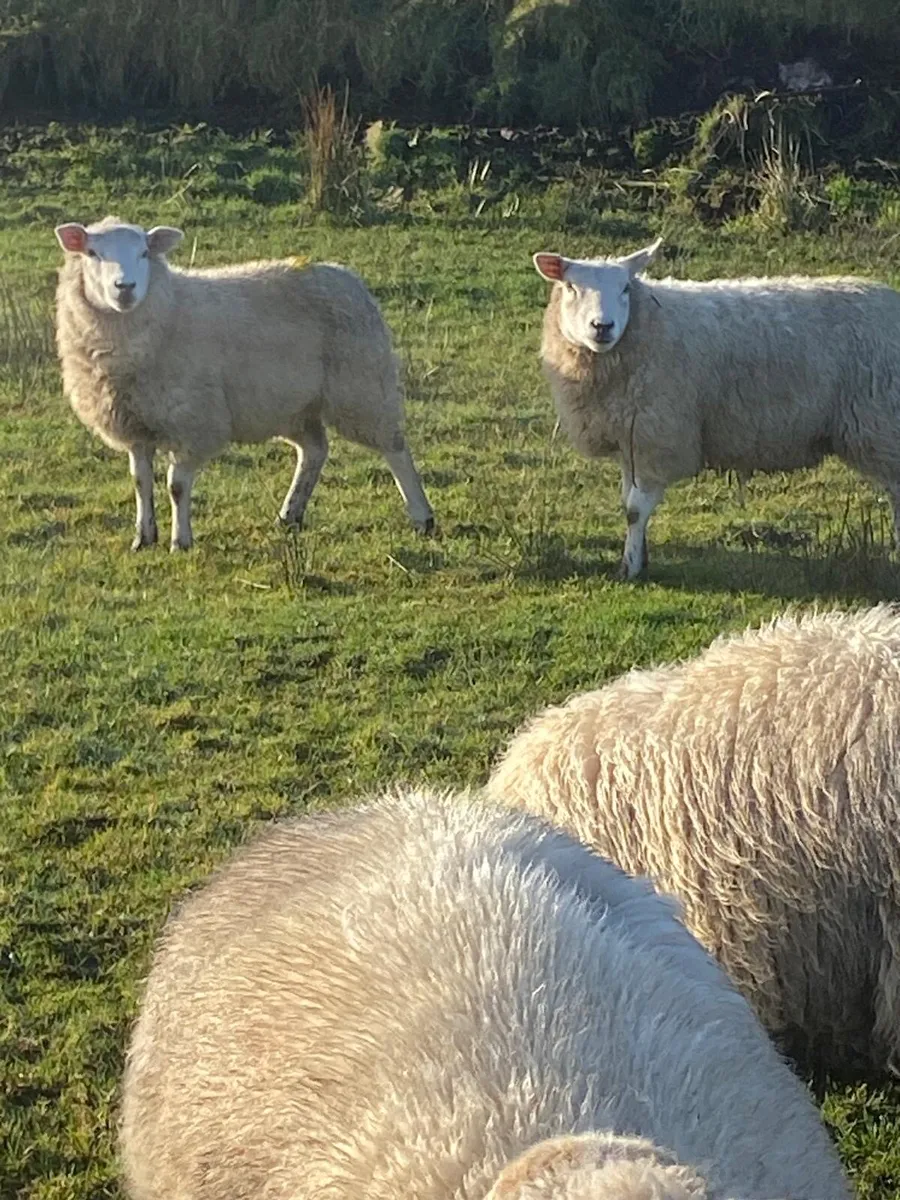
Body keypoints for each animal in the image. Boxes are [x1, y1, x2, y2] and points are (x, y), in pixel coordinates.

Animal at [54, 217, 434, 551]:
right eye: (92, 253)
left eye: (145, 253)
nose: (125, 289)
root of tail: (346, 275)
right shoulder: (134, 424)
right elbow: (140, 482)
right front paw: (143, 538)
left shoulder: (195, 422)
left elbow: (176, 486)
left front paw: (181, 541)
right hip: (293, 404)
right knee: (314, 450)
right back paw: (290, 514)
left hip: (362, 385)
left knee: (394, 448)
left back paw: (422, 516)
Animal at [533, 240, 900, 578]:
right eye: (571, 287)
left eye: (625, 288)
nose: (603, 327)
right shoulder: (631, 438)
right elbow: (628, 503)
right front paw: (641, 557)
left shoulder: (658, 435)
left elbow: (634, 510)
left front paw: (629, 568)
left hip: (882, 422)